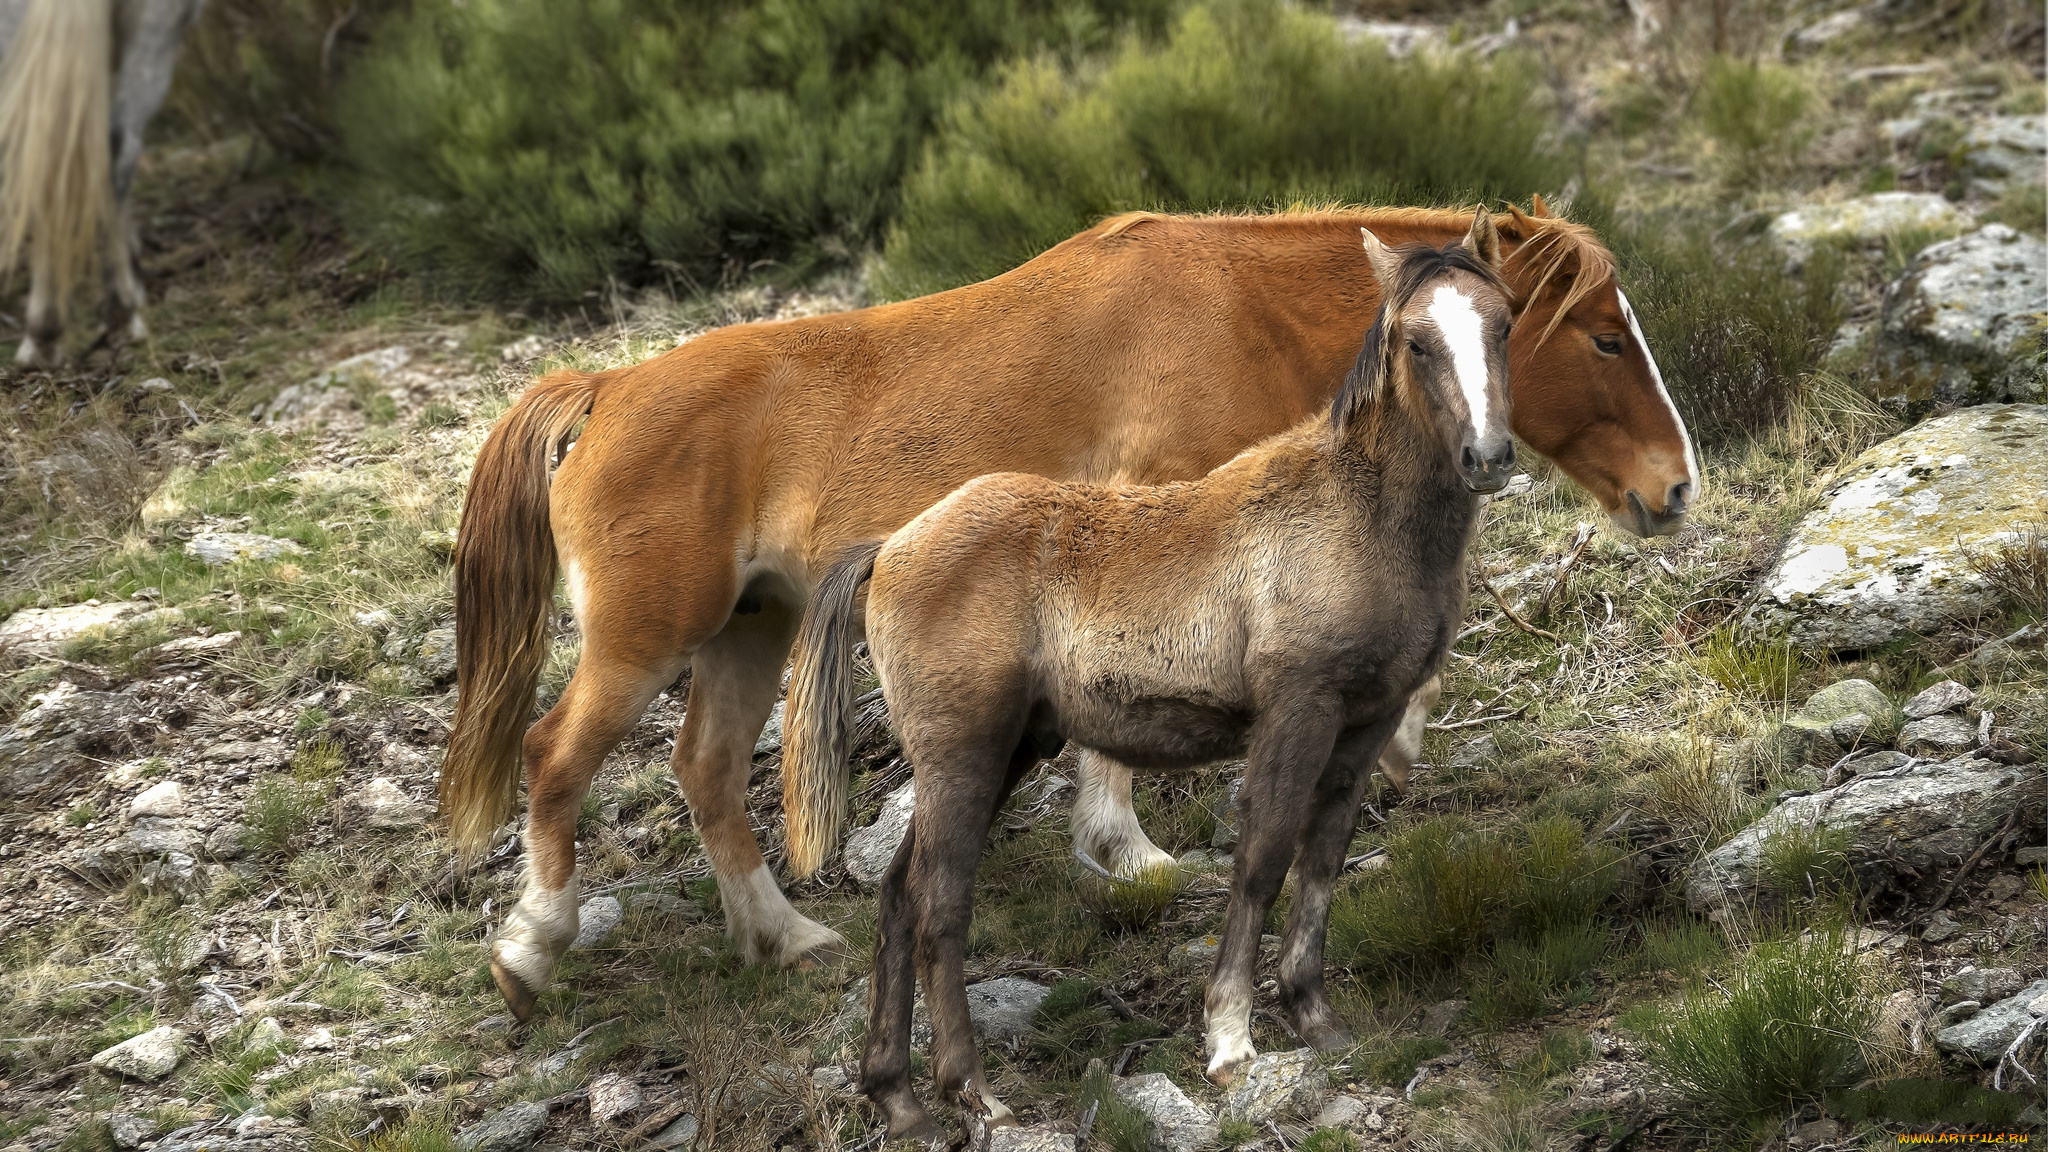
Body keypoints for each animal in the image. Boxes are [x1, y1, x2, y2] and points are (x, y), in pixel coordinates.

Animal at [444, 196, 1695, 1012]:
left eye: (1518, 331)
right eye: (1599, 334)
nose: (1674, 485)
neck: (1226, 308)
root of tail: (605, 389)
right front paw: (1126, 849)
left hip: (749, 631)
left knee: (702, 769)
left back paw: (782, 935)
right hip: (645, 639)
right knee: (555, 758)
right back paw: (534, 946)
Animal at [806, 217, 1515, 1139]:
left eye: (1503, 324)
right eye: (1417, 340)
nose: (1488, 456)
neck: (1361, 520)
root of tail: (890, 547)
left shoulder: (1366, 721)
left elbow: (1323, 858)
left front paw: (1316, 1016)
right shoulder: (1299, 709)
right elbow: (1264, 856)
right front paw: (1230, 1039)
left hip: (1006, 752)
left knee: (896, 898)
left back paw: (897, 1097)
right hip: (964, 755)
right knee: (936, 905)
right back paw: (972, 1091)